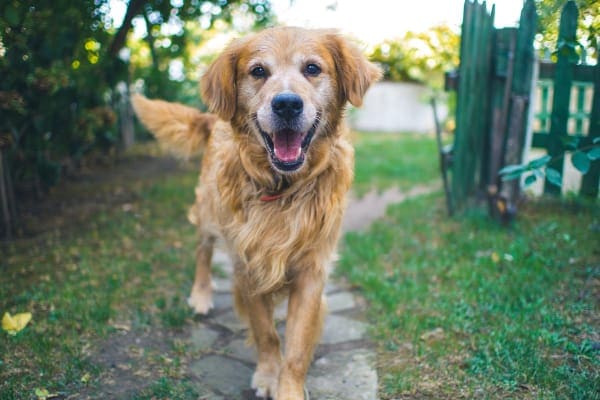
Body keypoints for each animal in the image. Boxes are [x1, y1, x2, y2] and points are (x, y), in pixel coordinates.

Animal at [134, 26, 382, 398]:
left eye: (312, 68)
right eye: (258, 71)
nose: (287, 104)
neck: (283, 189)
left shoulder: (311, 270)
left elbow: (296, 347)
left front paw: (288, 386)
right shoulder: (247, 266)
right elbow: (266, 332)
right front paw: (267, 375)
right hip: (209, 212)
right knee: (203, 250)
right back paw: (201, 294)